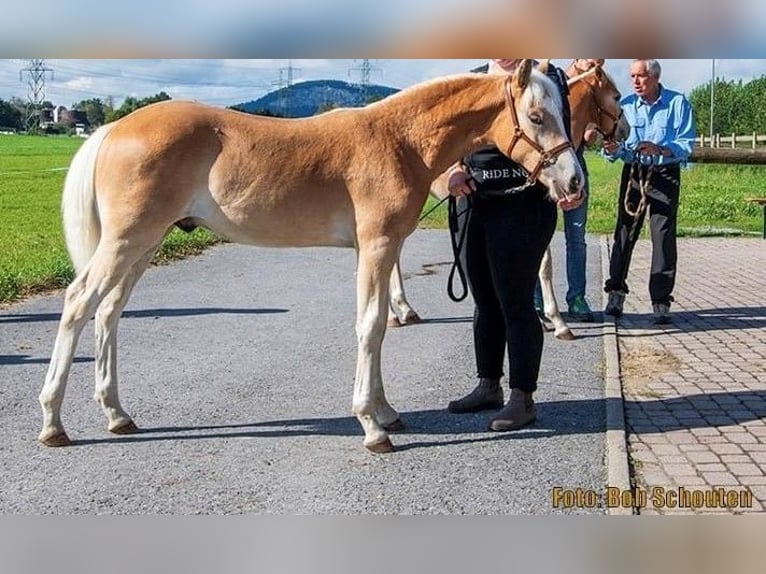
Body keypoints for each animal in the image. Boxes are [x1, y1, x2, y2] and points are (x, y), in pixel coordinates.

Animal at [39, 58, 584, 454]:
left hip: (145, 244)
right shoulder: (378, 246)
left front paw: (387, 413)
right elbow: (371, 326)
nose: (574, 181)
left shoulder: (375, 250)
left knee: (109, 312)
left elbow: (377, 326)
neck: (398, 140)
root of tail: (113, 129)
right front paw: (372, 427)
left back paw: (117, 415)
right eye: (536, 117)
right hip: (126, 240)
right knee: (79, 303)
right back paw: (53, 423)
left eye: (562, 112)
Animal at [390, 63, 632, 342]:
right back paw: (395, 314)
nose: (626, 130)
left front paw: (547, 317)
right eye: (616, 96)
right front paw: (556, 320)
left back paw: (404, 309)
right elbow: (545, 266)